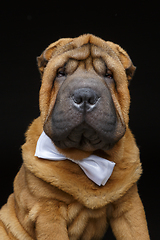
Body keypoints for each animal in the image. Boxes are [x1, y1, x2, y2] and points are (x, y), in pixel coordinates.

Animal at [0, 34, 150, 240]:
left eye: (109, 75)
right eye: (60, 73)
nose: (85, 96)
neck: (86, 157)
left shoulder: (129, 206)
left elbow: (138, 231)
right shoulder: (48, 211)